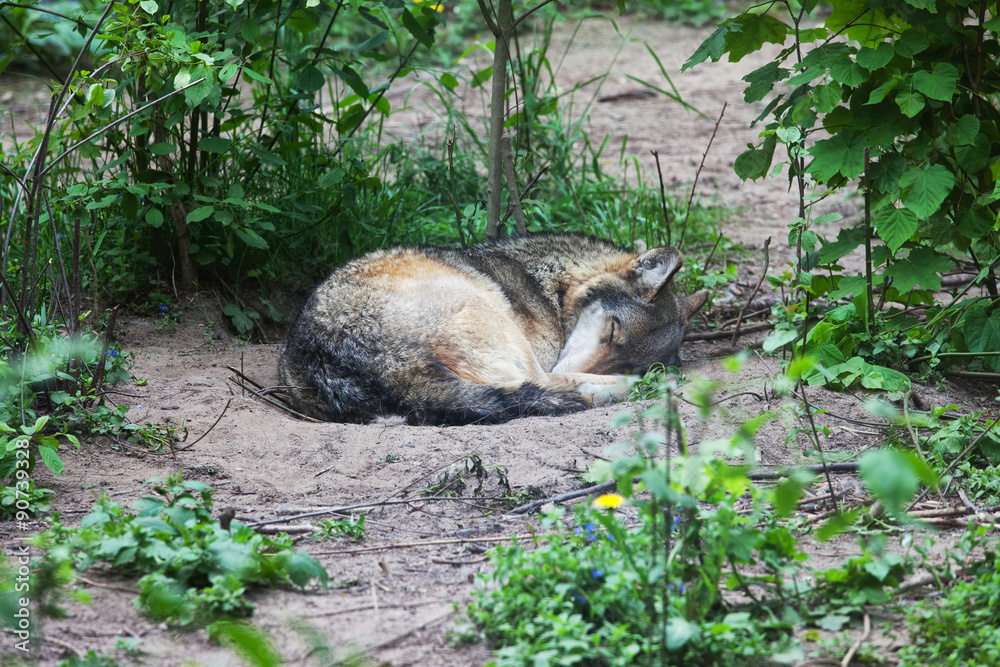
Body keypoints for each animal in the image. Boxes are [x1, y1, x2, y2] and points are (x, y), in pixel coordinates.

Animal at [278, 233, 707, 425]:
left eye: (623, 356)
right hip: (493, 320)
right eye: (613, 332)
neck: (552, 285)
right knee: (544, 383)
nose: (630, 373)